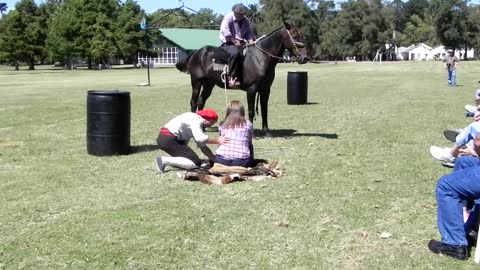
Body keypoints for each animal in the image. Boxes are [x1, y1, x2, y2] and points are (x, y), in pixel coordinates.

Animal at [175, 21, 308, 137]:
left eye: (302, 35)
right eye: (294, 35)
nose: (305, 57)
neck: (260, 58)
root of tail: (196, 52)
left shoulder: (265, 90)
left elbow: (264, 110)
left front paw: (266, 132)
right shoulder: (252, 90)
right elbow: (251, 111)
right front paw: (252, 133)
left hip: (209, 84)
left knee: (201, 101)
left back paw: (202, 127)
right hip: (196, 83)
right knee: (194, 102)